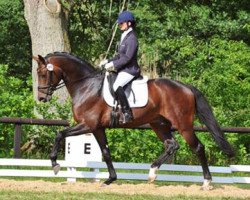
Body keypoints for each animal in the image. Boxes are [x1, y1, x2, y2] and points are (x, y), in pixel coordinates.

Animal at [33, 51, 234, 189]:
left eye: (43, 73)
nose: (41, 98)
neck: (86, 85)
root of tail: (185, 86)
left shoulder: (88, 125)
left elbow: (59, 134)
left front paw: (55, 165)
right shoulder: (97, 128)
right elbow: (106, 152)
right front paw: (110, 179)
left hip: (183, 125)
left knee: (198, 148)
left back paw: (206, 182)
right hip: (159, 124)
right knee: (171, 145)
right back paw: (152, 173)